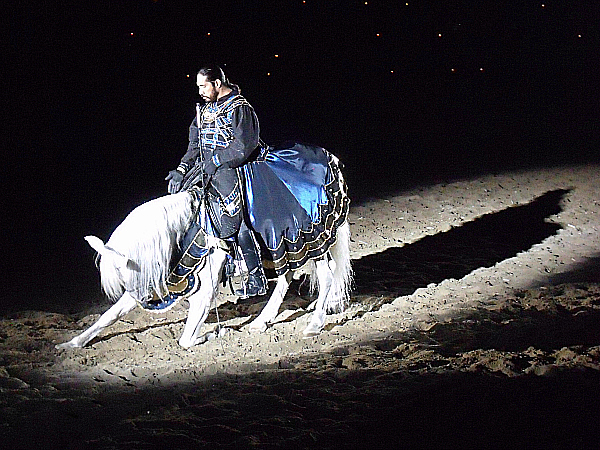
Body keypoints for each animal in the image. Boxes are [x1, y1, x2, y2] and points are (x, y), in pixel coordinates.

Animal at [56, 188, 352, 350]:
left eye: (125, 272)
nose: (147, 300)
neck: (182, 229)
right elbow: (109, 316)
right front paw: (72, 343)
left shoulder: (203, 289)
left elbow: (186, 340)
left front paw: (212, 334)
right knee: (287, 277)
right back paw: (262, 321)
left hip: (311, 244)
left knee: (326, 275)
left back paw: (315, 323)